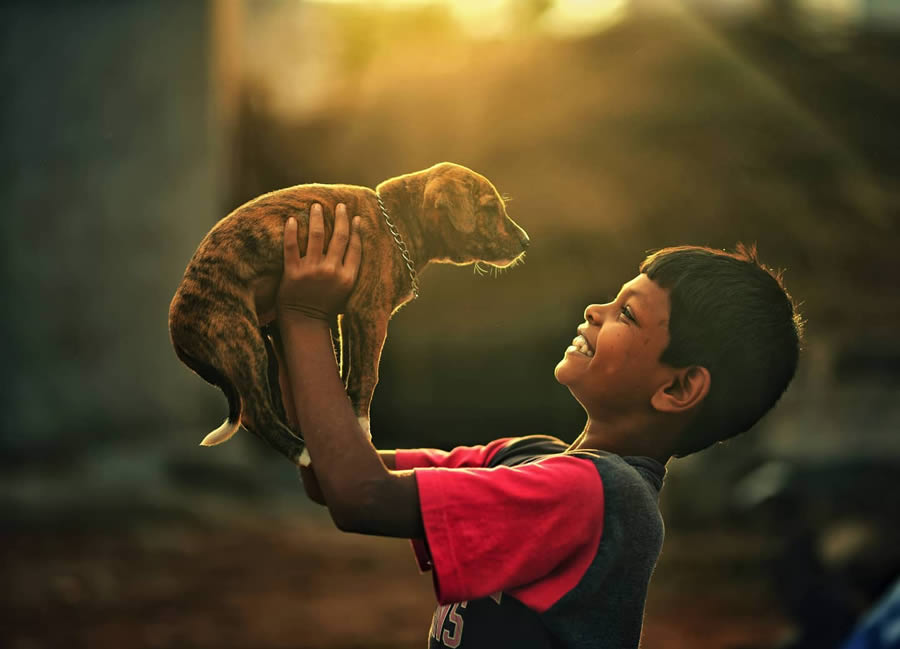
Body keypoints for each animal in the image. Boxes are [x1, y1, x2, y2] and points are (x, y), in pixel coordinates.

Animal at [169, 162, 528, 466]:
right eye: (489, 209)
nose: (526, 242)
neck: (397, 223)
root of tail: (177, 320)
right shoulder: (371, 313)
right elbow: (368, 374)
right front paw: (362, 428)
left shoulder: (350, 318)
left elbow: (349, 372)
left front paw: (350, 419)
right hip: (242, 342)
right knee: (255, 414)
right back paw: (303, 453)